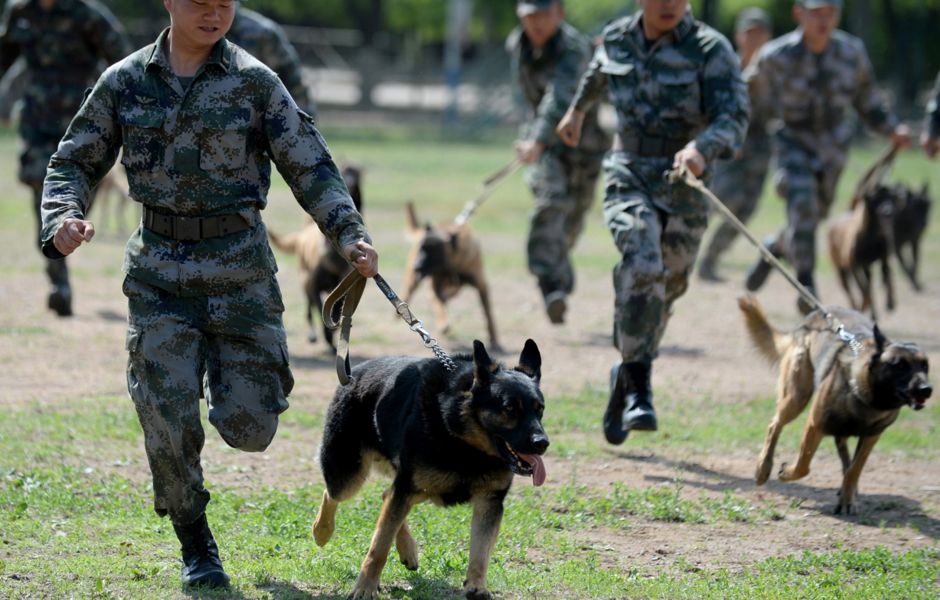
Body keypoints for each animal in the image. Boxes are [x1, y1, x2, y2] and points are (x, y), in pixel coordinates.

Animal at [316, 340, 552, 596]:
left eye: (540, 409)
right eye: (510, 408)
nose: (542, 443)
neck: (465, 442)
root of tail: (353, 373)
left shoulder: (489, 501)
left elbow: (481, 551)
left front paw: (477, 585)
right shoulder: (407, 489)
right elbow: (379, 546)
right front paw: (364, 588)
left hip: (423, 489)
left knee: (386, 495)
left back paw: (407, 550)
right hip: (351, 476)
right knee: (334, 493)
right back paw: (322, 531)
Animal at [402, 203, 500, 352]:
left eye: (433, 250)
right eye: (421, 248)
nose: (416, 266)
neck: (453, 265)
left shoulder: (482, 285)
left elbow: (488, 314)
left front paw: (494, 339)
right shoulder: (435, 287)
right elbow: (439, 306)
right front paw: (443, 324)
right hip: (413, 281)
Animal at [740, 296, 932, 516]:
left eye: (925, 366)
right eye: (899, 365)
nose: (926, 389)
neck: (867, 398)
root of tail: (810, 318)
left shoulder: (871, 436)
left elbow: (854, 469)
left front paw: (848, 500)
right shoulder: (815, 424)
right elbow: (804, 465)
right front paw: (786, 472)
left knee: (844, 454)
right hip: (796, 397)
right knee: (775, 425)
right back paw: (763, 468)